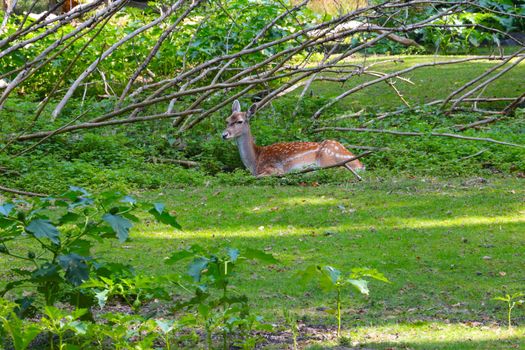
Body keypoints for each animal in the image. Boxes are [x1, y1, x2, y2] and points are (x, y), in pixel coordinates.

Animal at [221, 100, 364, 179]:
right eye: (227, 120)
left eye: (239, 121)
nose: (224, 135)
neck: (255, 160)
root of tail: (360, 165)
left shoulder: (273, 168)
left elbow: (260, 177)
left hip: (327, 158)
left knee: (336, 170)